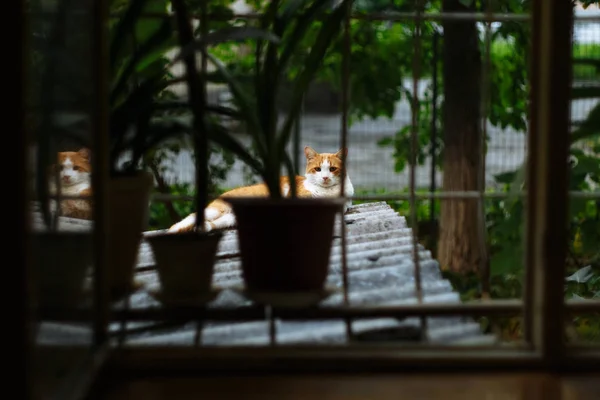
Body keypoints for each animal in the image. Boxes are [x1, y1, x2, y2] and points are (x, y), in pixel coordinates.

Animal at [169, 146, 354, 234]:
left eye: (332, 169)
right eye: (317, 169)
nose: (325, 178)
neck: (326, 192)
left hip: (229, 218)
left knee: (212, 223)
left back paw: (202, 228)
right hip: (215, 210)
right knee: (185, 221)